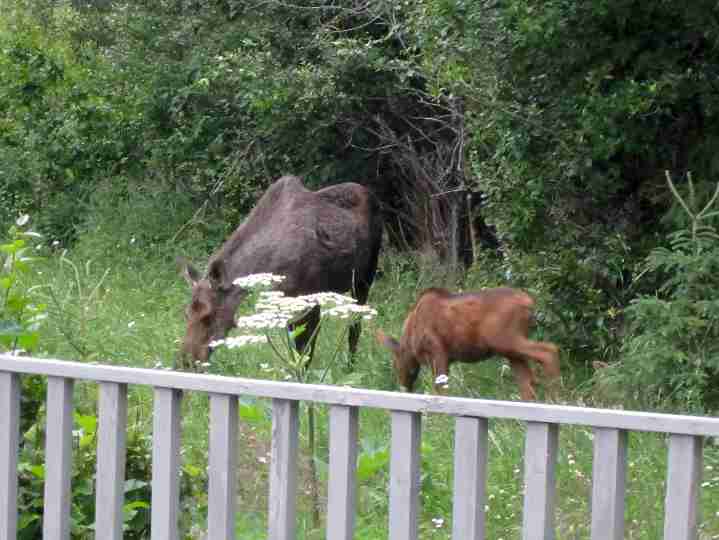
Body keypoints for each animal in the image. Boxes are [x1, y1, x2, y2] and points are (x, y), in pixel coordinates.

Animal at [376, 287, 560, 400]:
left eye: (395, 363)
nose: (403, 387)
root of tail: (530, 303)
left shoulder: (438, 352)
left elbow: (441, 389)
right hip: (510, 350)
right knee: (527, 381)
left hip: (505, 340)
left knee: (549, 350)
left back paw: (554, 397)